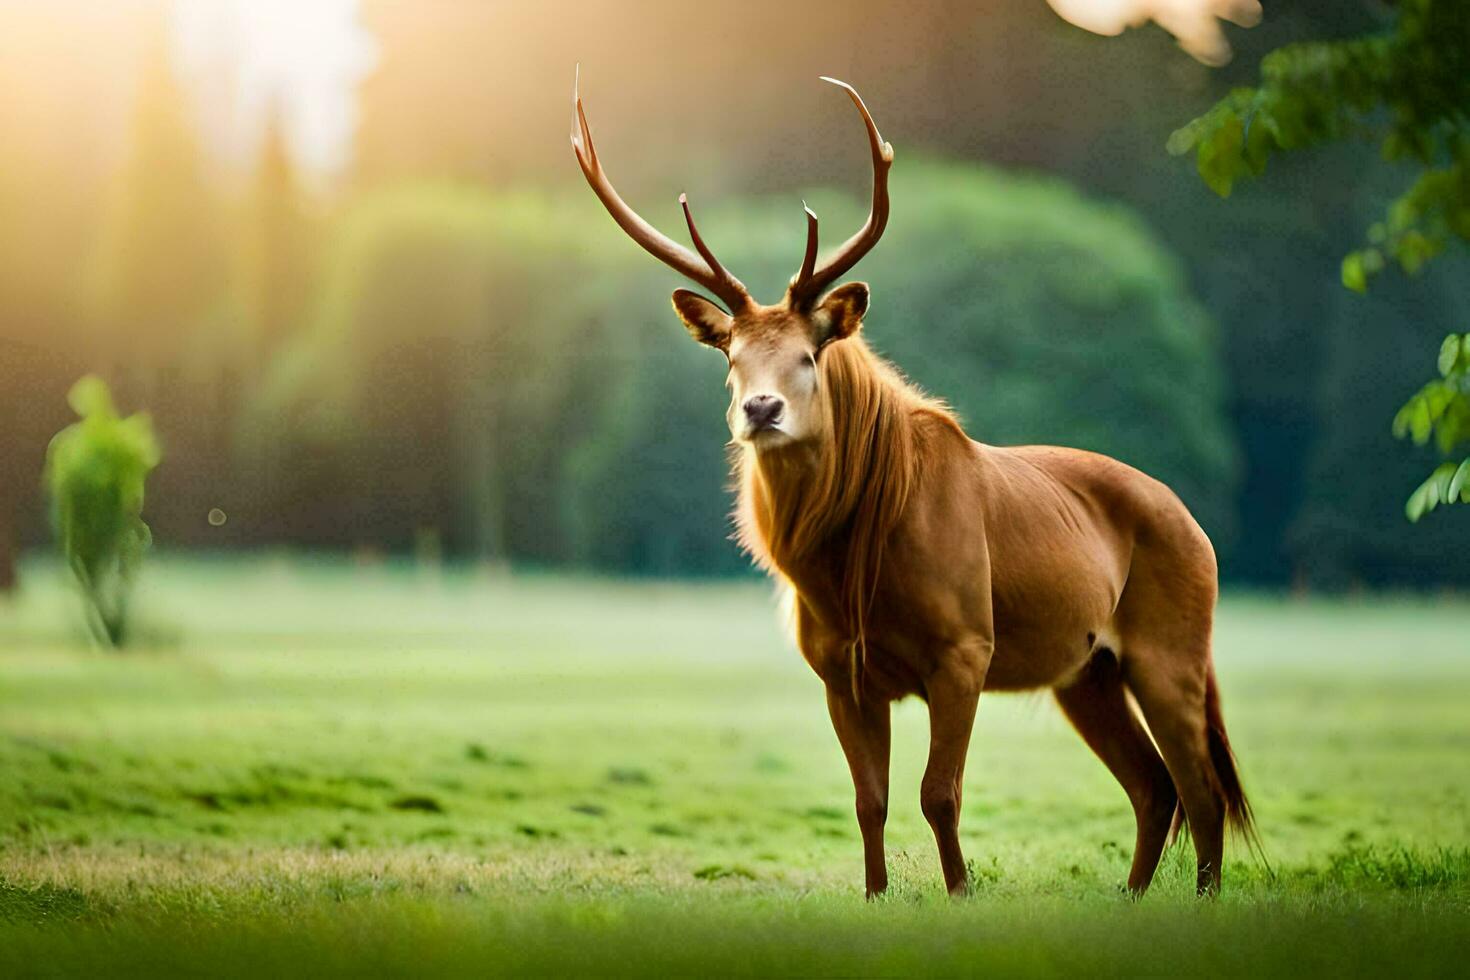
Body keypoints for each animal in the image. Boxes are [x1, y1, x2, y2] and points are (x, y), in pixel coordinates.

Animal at [567, 70, 1258, 899]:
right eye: (731, 357)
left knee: (1202, 783)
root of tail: (1197, 526)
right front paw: (875, 894)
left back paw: (1203, 895)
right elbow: (870, 798)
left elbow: (940, 793)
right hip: (1087, 671)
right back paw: (1130, 895)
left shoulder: (964, 646)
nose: (759, 410)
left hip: (1173, 645)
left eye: (808, 356)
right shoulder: (841, 669)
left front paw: (959, 893)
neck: (852, 570)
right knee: (1154, 784)